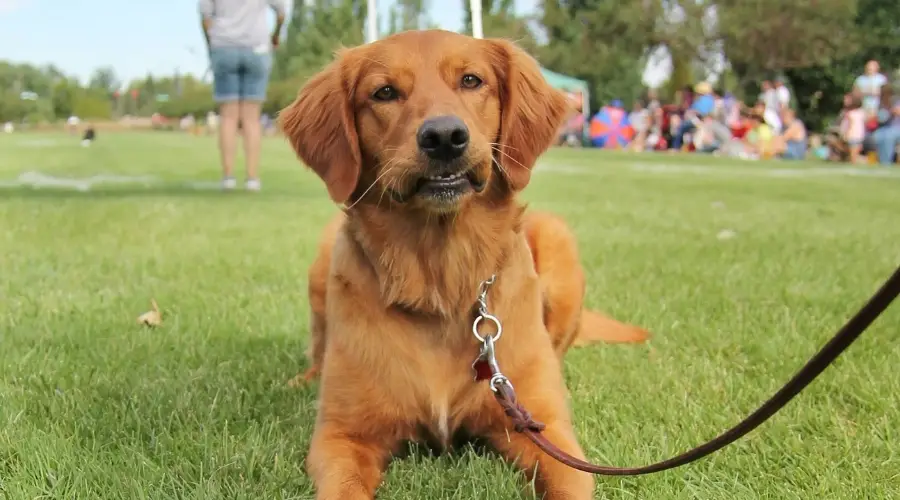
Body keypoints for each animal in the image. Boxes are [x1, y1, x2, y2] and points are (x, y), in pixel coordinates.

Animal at [280, 29, 648, 498]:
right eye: (384, 92)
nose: (443, 137)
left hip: (559, 246)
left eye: (471, 80)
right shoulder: (342, 435)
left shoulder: (545, 429)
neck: (440, 280)